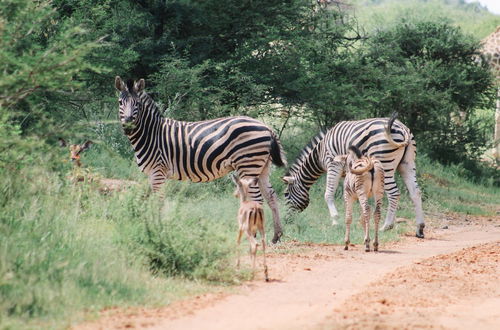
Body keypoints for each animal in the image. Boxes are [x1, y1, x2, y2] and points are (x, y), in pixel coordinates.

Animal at [112, 76, 288, 242]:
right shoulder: (151, 174)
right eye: (120, 102)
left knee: (257, 199)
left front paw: (158, 228)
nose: (128, 125)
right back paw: (276, 235)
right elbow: (147, 199)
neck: (152, 134)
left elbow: (158, 201)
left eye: (137, 104)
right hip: (262, 167)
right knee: (271, 196)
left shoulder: (158, 171)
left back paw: (253, 234)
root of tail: (267, 127)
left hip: (248, 166)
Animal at [282, 114, 426, 238]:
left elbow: (328, 194)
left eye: (286, 195)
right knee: (416, 192)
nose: (287, 220)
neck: (320, 153)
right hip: (407, 164)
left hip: (385, 164)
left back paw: (386, 226)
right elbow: (354, 194)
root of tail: (402, 128)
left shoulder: (333, 164)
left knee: (394, 193)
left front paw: (335, 221)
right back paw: (419, 228)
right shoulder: (350, 170)